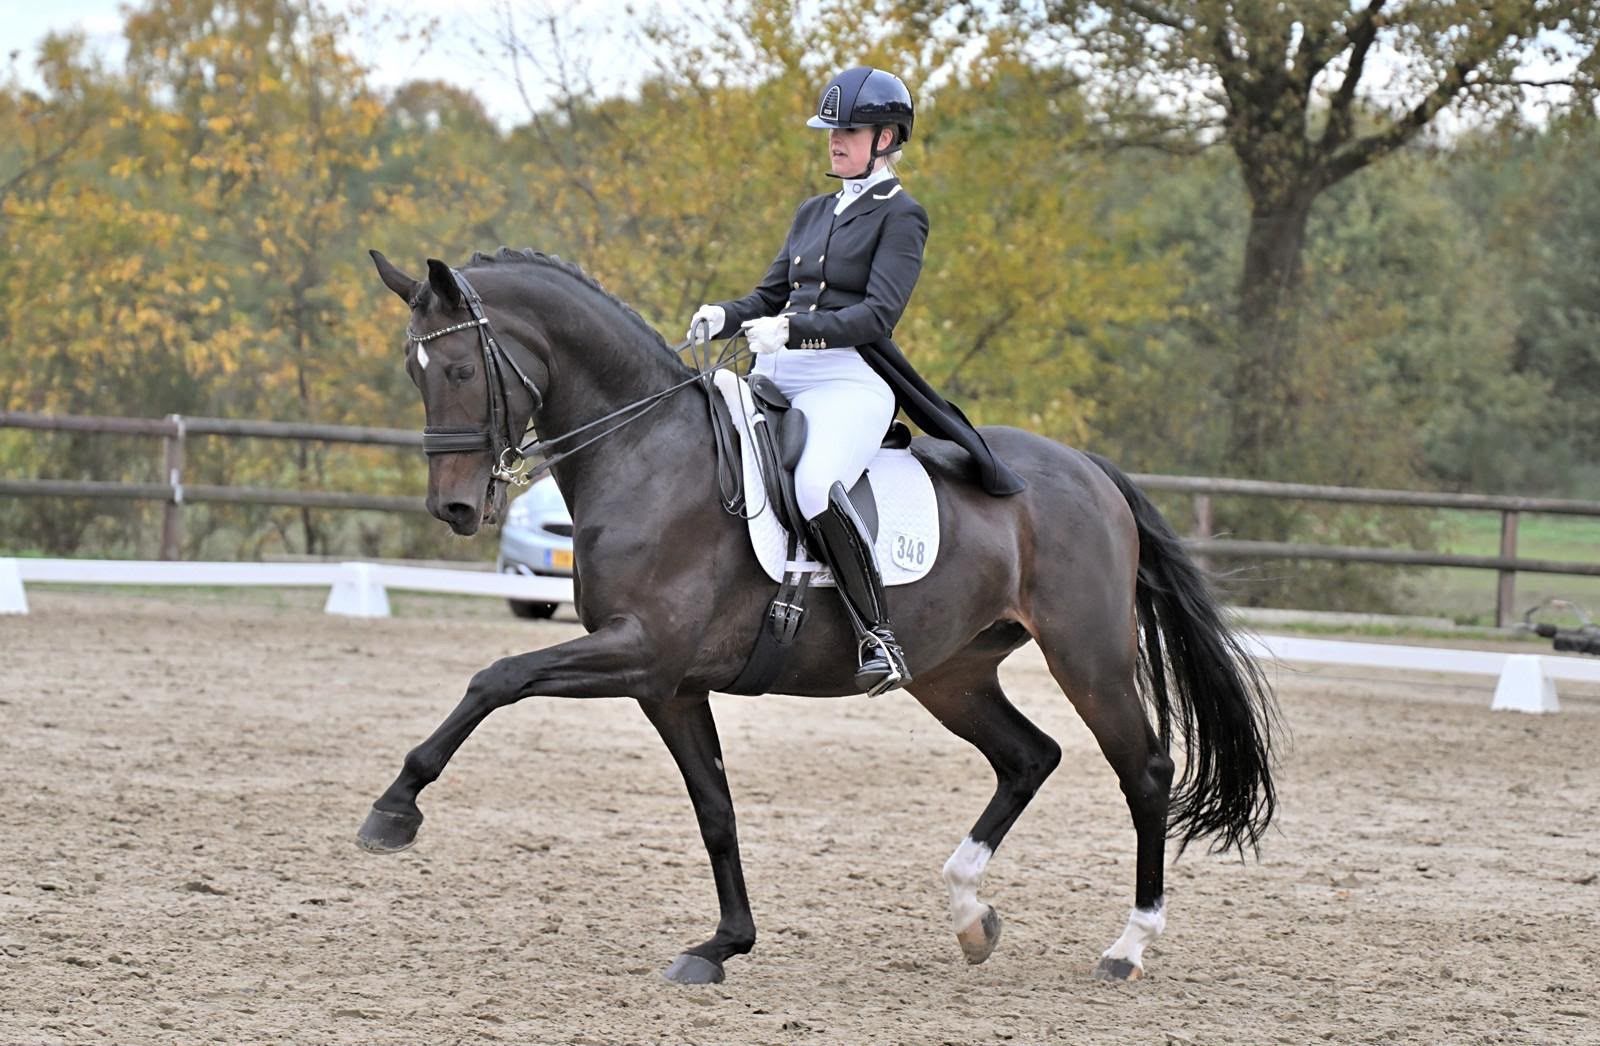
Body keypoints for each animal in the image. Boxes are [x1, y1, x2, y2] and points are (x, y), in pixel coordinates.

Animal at [357, 247, 1279, 985]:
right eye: (414, 372)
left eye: (461, 370)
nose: (454, 508)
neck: (645, 450)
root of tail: (1089, 469)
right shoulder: (669, 686)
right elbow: (716, 810)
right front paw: (722, 946)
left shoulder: (641, 652)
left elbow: (496, 678)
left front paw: (395, 808)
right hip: (952, 672)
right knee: (1029, 756)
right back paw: (970, 916)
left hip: (1086, 655)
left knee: (1145, 771)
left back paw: (1128, 947)